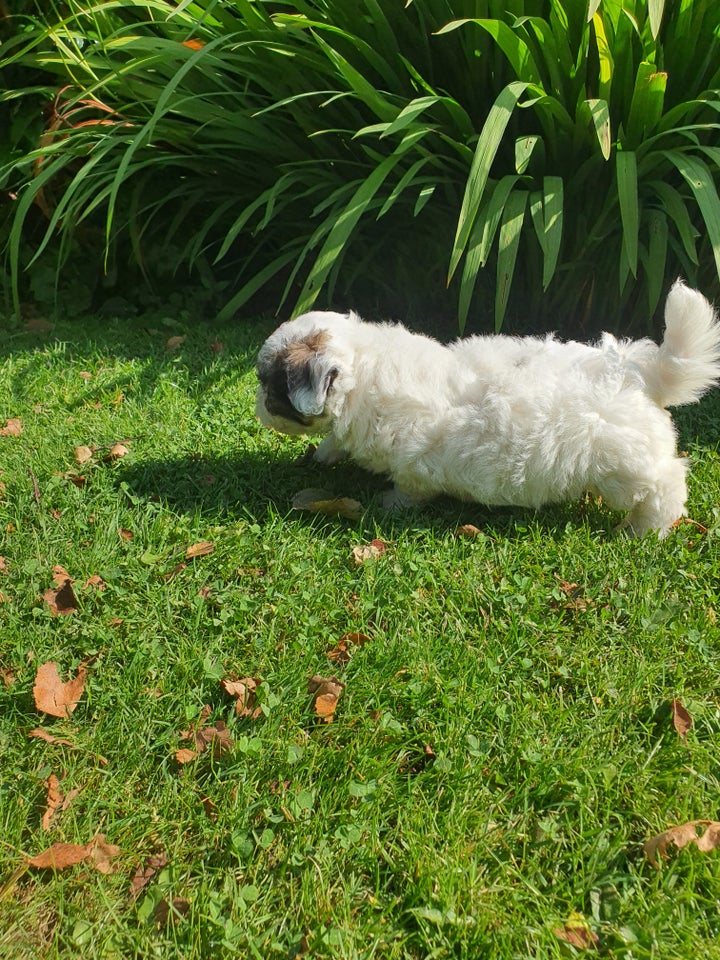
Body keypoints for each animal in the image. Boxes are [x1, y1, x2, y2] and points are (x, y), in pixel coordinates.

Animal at [258, 282, 720, 536]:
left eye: (268, 384)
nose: (259, 408)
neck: (364, 367)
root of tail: (638, 372)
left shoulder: (413, 461)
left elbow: (409, 488)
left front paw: (389, 503)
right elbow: (335, 440)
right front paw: (325, 453)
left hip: (626, 465)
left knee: (666, 483)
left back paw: (644, 530)